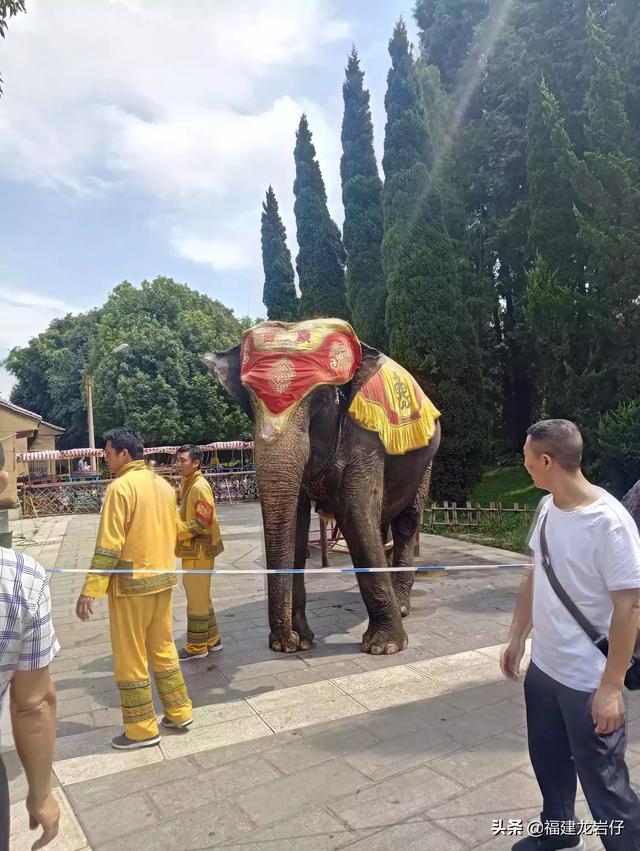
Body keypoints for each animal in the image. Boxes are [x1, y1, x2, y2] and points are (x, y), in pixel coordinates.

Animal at [208, 322, 442, 656]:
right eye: (250, 402)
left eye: (319, 400)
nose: (287, 641)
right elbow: (296, 519)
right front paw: (299, 643)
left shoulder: (365, 434)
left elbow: (355, 511)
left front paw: (384, 649)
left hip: (426, 460)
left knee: (407, 522)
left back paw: (402, 606)